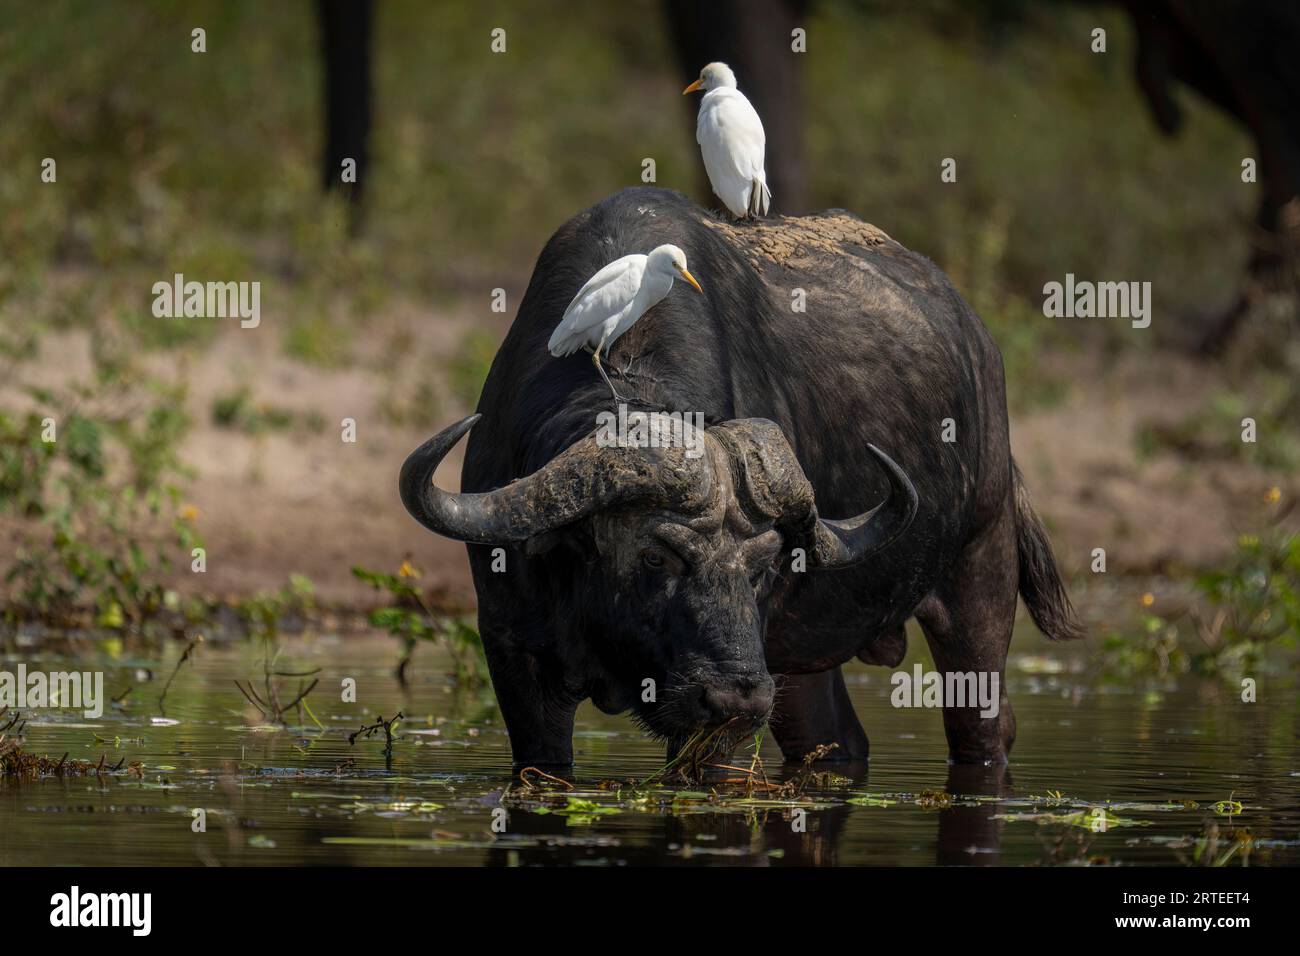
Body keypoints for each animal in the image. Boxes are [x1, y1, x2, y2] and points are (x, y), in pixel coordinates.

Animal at [400, 184, 1081, 770]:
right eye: (655, 557)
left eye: (763, 566)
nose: (736, 697)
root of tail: (980, 346)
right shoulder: (514, 658)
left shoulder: (715, 731)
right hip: (797, 667)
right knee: (835, 740)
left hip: (978, 577)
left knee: (984, 727)